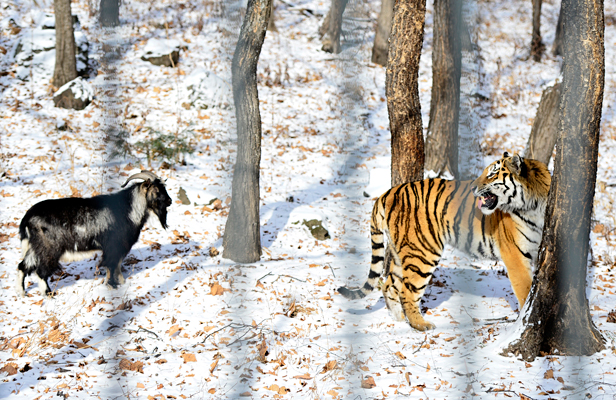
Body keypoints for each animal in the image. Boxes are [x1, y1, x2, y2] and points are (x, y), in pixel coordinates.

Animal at [17, 170, 171, 296]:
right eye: (156, 190)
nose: (169, 201)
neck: (129, 209)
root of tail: (27, 219)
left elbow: (117, 265)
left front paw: (121, 283)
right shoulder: (113, 247)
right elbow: (111, 265)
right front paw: (112, 286)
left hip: (35, 248)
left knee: (23, 266)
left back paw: (22, 292)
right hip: (48, 249)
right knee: (40, 271)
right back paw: (49, 294)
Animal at [340, 152, 552, 330]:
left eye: (492, 174)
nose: (473, 187)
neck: (534, 205)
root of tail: (387, 193)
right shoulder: (515, 255)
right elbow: (525, 291)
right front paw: (523, 321)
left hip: (401, 253)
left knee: (389, 285)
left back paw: (399, 321)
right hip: (422, 253)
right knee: (407, 292)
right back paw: (421, 325)